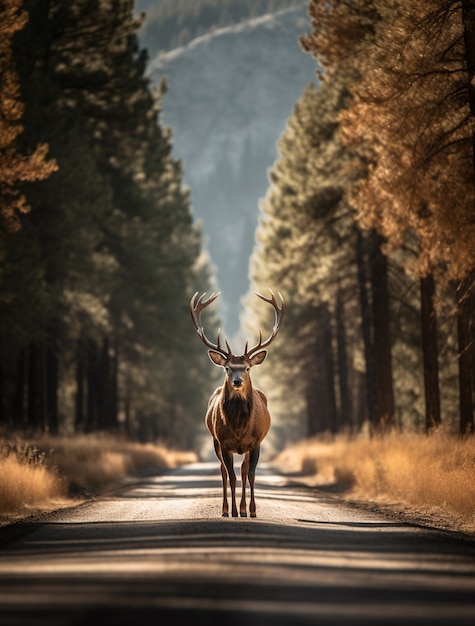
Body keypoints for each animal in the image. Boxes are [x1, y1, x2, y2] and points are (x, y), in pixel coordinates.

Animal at [192, 288, 284, 516]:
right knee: (224, 472)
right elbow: (231, 476)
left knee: (243, 471)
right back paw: (226, 509)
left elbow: (250, 474)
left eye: (248, 368)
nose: (237, 381)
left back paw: (243, 508)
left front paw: (251, 510)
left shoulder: (257, 442)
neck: (239, 427)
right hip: (215, 441)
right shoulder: (224, 442)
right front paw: (233, 510)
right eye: (227, 367)